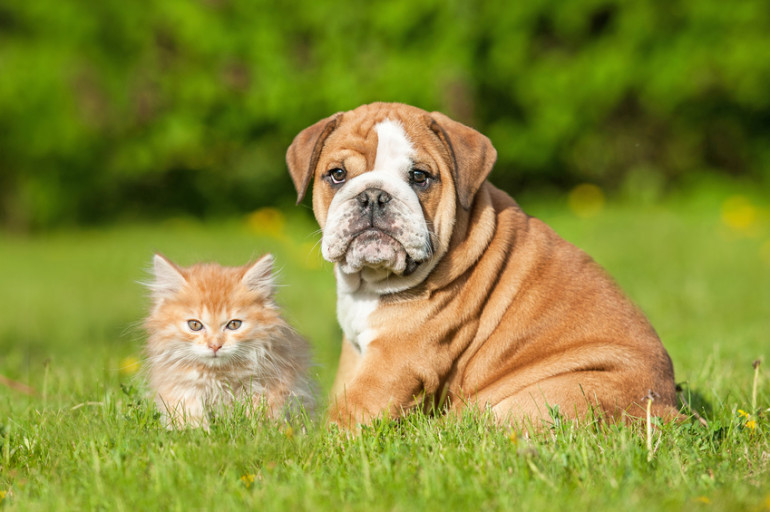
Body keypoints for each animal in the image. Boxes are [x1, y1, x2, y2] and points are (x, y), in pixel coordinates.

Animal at [142, 253, 314, 428]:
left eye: (234, 324)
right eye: (195, 325)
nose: (215, 345)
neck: (218, 374)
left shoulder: (269, 384)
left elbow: (262, 414)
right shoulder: (181, 388)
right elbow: (190, 415)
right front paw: (195, 430)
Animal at [284, 102, 676, 430]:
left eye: (419, 177)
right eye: (337, 174)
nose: (373, 196)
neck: (369, 284)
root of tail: (668, 410)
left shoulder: (392, 363)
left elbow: (346, 412)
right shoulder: (356, 351)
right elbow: (341, 391)